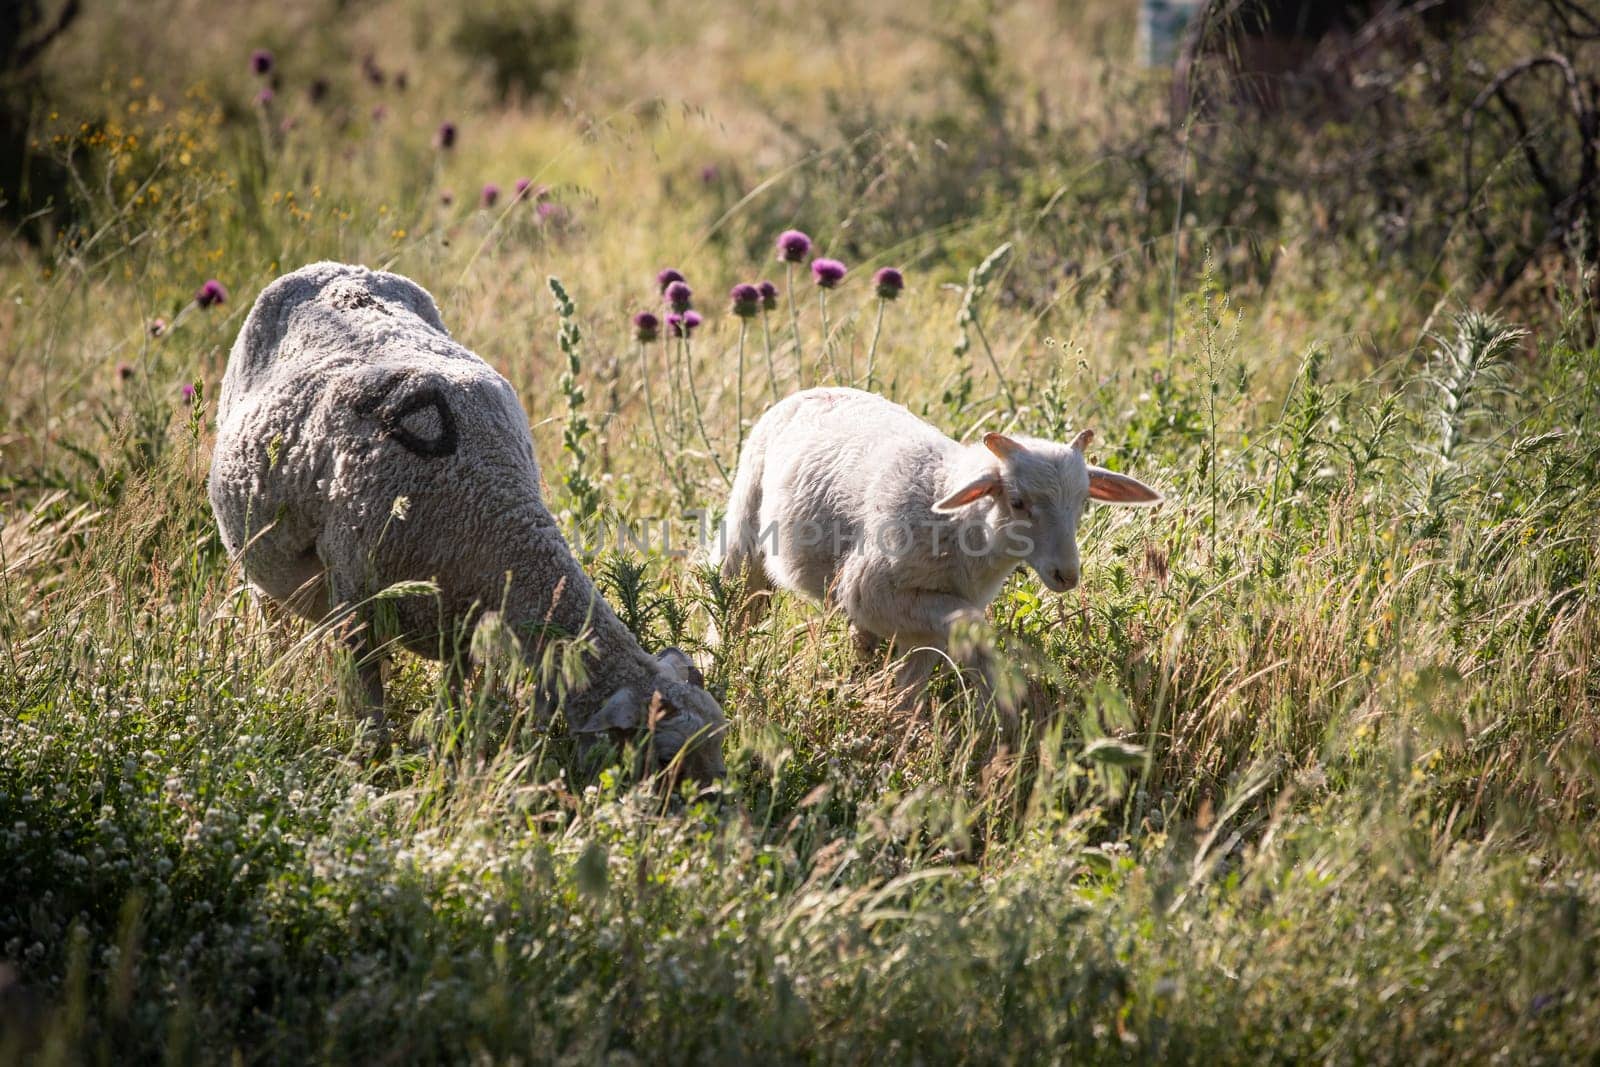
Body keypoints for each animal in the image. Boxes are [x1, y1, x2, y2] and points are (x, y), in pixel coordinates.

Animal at [206, 262, 726, 780]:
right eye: (666, 757)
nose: (719, 798)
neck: (491, 512)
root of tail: (334, 267)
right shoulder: (355, 594)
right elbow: (369, 696)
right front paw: (371, 758)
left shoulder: (459, 620)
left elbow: (453, 695)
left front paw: (449, 744)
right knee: (271, 618)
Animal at [713, 388, 1164, 697]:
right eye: (1017, 502)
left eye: (1083, 502)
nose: (1066, 574)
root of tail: (813, 388)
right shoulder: (871, 591)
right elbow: (972, 626)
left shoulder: (925, 618)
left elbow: (916, 676)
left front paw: (896, 720)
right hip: (744, 533)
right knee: (736, 608)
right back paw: (717, 665)